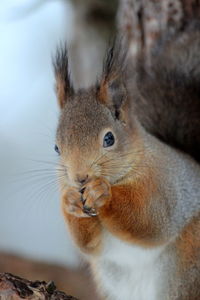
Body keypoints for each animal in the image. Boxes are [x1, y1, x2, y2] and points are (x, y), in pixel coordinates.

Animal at [52, 20, 200, 298]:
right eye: (56, 147)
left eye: (109, 139)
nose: (80, 178)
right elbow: (88, 245)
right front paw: (69, 202)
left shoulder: (162, 183)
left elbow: (149, 219)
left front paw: (103, 192)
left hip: (186, 267)